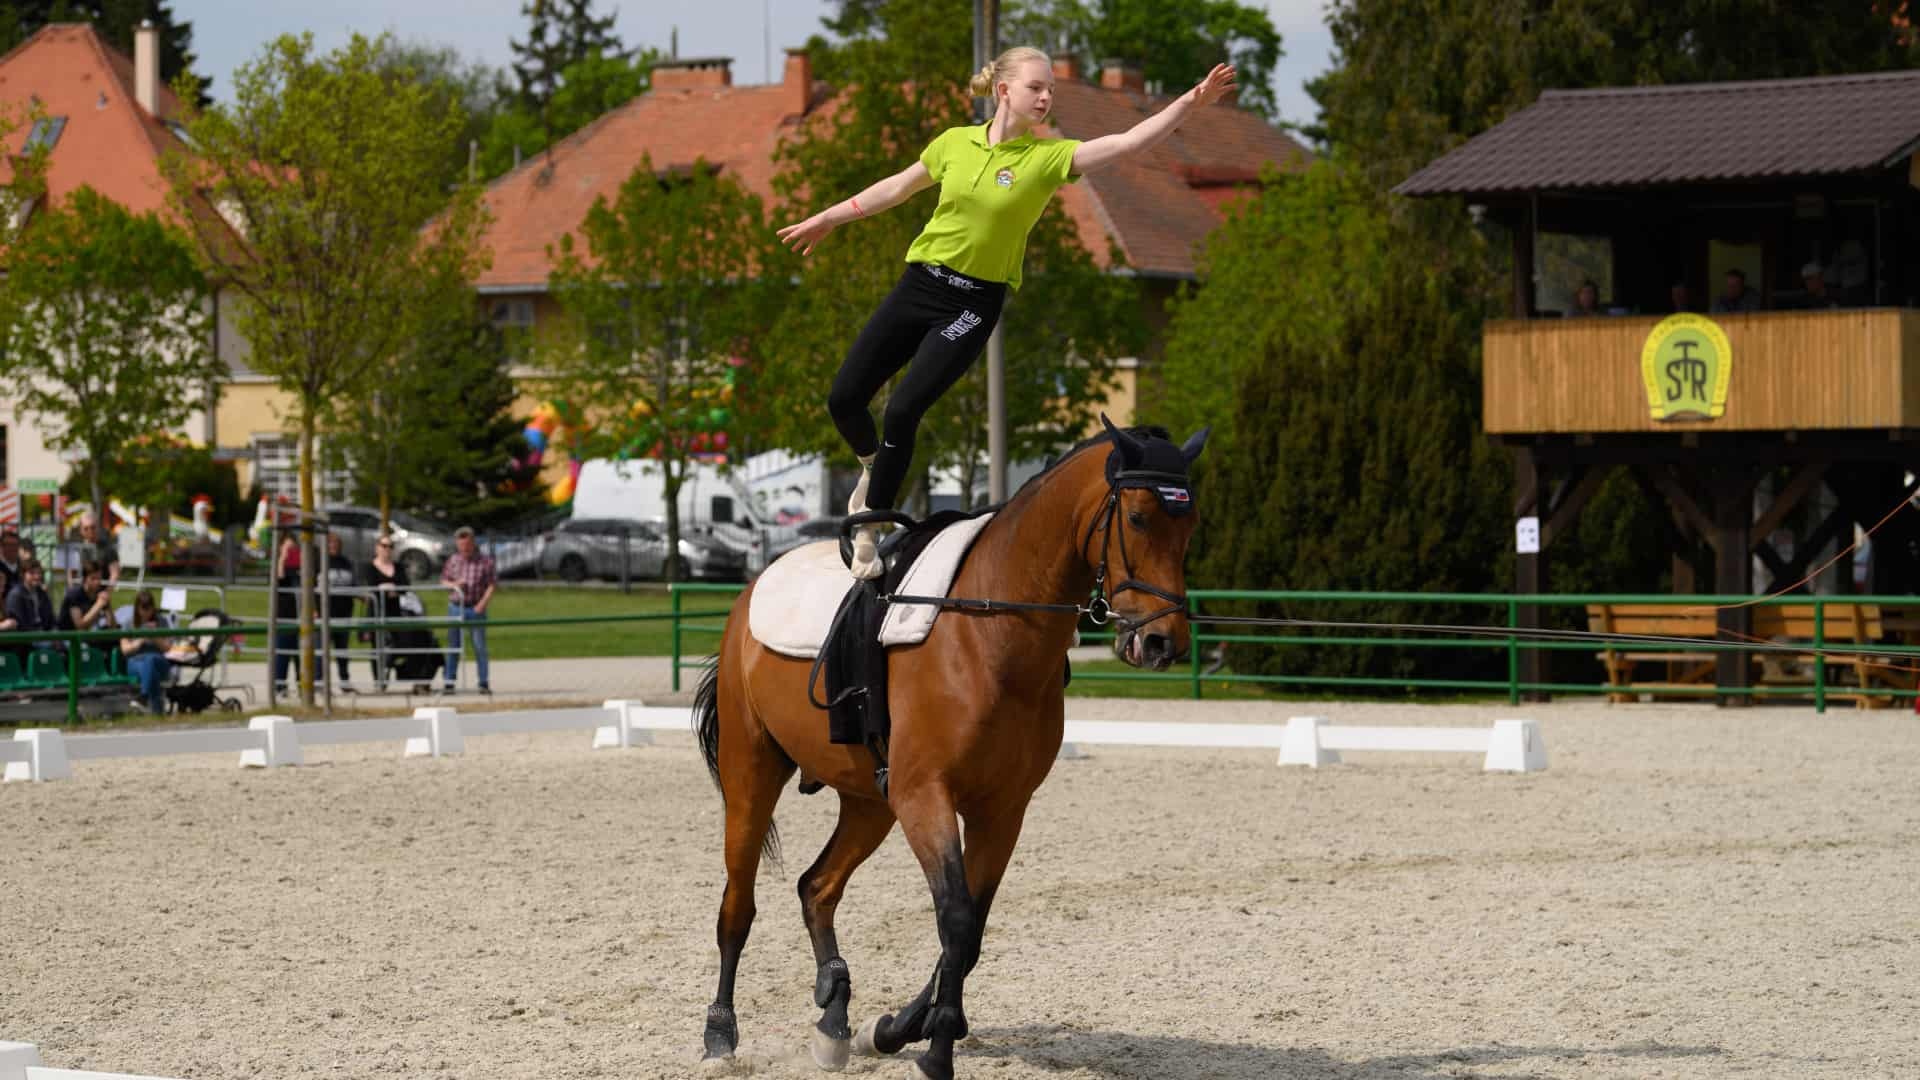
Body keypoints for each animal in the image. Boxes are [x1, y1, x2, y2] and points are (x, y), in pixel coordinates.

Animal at [695, 420, 1198, 1076]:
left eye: (1190, 527)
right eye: (1137, 517)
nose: (1163, 643)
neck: (993, 631)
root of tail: (751, 585)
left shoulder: (1001, 810)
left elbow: (972, 930)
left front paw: (899, 1029)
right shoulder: (926, 796)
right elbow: (955, 917)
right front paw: (934, 1048)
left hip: (871, 803)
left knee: (817, 886)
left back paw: (835, 1017)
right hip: (753, 771)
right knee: (739, 903)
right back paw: (720, 1033)